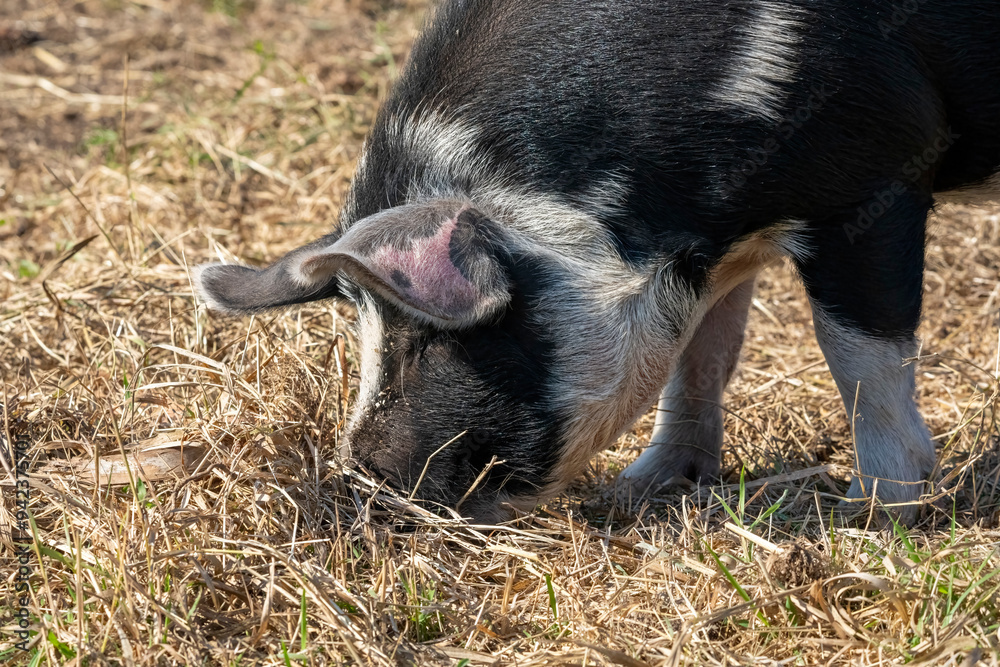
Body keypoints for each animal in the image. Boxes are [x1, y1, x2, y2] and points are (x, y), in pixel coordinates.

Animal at [196, 0, 1000, 523]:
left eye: (424, 340)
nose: (362, 471)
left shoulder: (875, 175)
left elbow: (860, 353)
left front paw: (873, 516)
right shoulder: (720, 240)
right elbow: (701, 354)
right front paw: (641, 489)